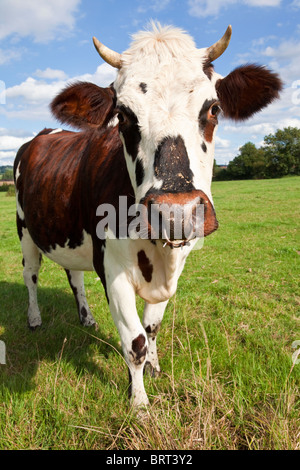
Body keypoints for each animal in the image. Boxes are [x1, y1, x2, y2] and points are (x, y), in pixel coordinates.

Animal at [13, 23, 282, 408]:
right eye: (123, 115)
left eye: (213, 108)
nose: (175, 211)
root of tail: (43, 134)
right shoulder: (112, 269)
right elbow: (135, 342)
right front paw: (138, 404)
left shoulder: (177, 261)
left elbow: (152, 327)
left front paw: (155, 368)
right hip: (25, 229)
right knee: (31, 275)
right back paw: (34, 319)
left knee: (74, 276)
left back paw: (87, 318)